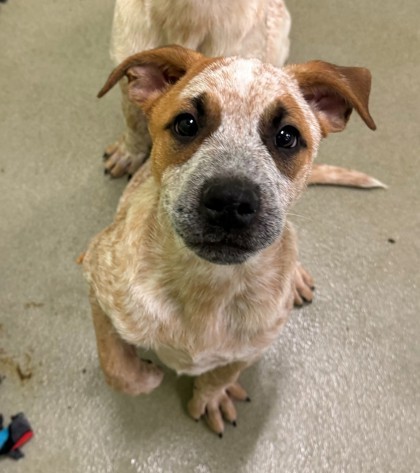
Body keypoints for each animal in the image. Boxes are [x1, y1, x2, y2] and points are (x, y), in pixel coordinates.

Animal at [83, 45, 376, 436]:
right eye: (186, 124)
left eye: (287, 136)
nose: (231, 201)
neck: (208, 287)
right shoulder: (95, 274)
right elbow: (116, 369)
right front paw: (147, 375)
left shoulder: (258, 342)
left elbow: (225, 371)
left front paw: (211, 396)